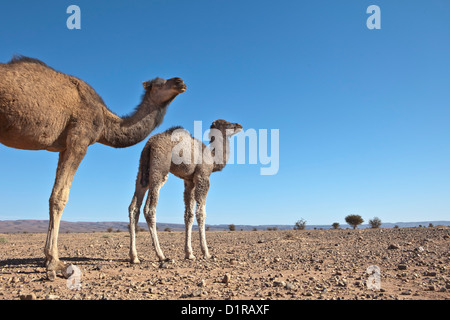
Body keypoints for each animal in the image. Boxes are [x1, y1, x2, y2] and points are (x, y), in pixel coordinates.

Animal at [0, 56, 186, 272]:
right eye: (157, 83)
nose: (179, 81)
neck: (104, 120)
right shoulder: (79, 139)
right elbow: (60, 196)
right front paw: (54, 261)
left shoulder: (64, 147)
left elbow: (54, 194)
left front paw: (47, 258)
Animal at [128, 118, 243, 262]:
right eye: (227, 123)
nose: (239, 125)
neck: (212, 158)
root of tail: (149, 144)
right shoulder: (202, 176)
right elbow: (201, 213)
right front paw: (206, 252)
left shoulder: (189, 181)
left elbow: (188, 215)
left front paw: (189, 253)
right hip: (159, 168)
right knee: (149, 209)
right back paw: (161, 255)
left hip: (143, 169)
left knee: (134, 207)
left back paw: (134, 256)